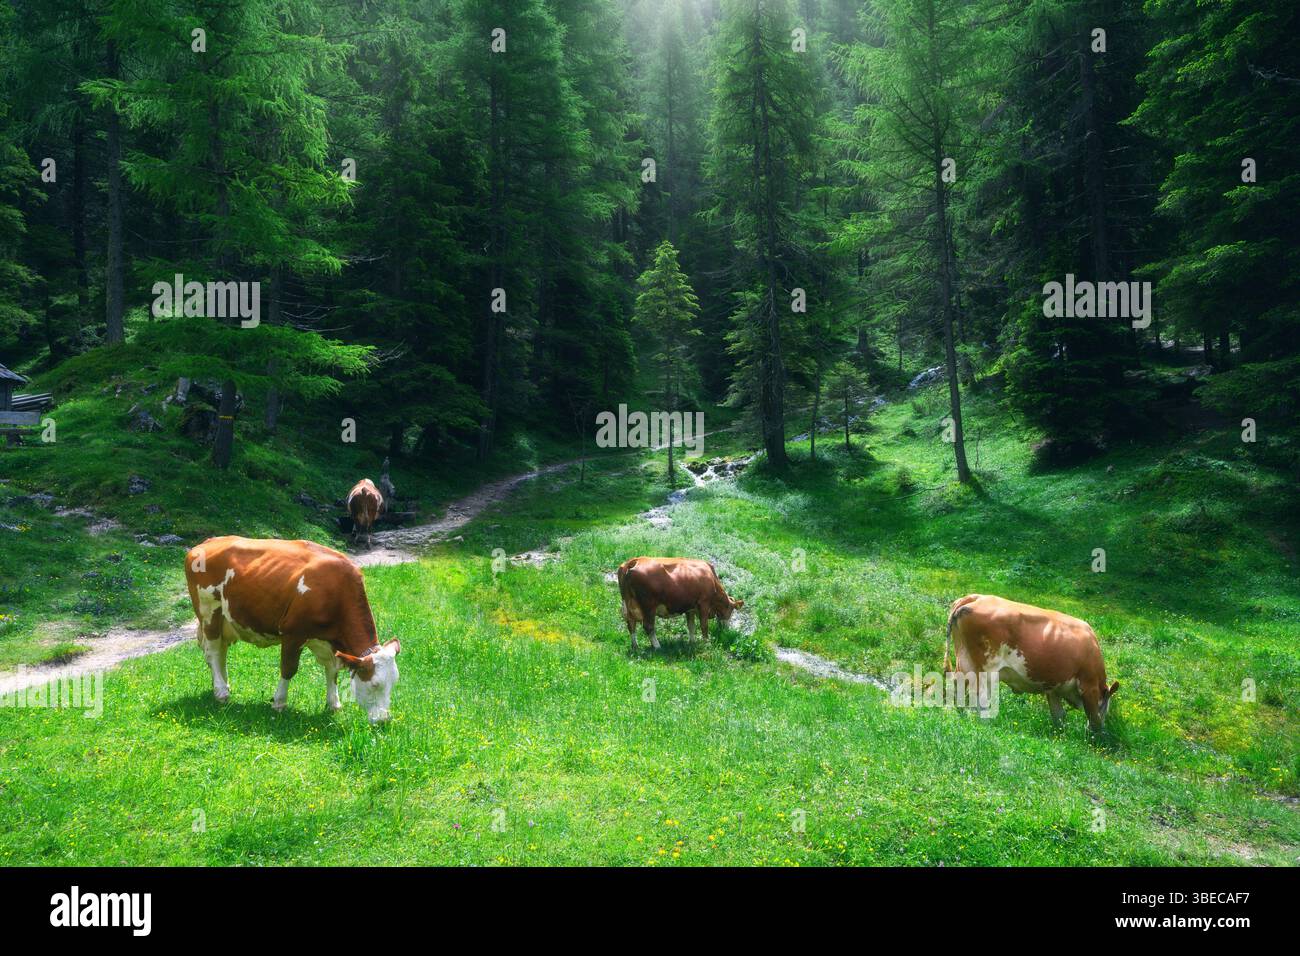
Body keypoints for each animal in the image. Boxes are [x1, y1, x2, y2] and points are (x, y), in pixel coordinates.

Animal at [183, 536, 401, 723]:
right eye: (375, 684)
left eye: (394, 682)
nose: (384, 720)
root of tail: (208, 542)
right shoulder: (293, 633)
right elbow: (288, 668)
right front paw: (279, 702)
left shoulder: (328, 641)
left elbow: (332, 670)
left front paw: (334, 704)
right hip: (209, 612)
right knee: (213, 652)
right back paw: (221, 691)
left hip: (225, 620)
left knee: (220, 652)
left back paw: (223, 686)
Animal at [944, 593, 1119, 731]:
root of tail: (975, 598)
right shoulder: (1089, 685)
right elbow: (1093, 715)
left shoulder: (1053, 688)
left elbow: (1059, 716)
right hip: (985, 669)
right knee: (979, 697)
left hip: (964, 661)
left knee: (957, 686)